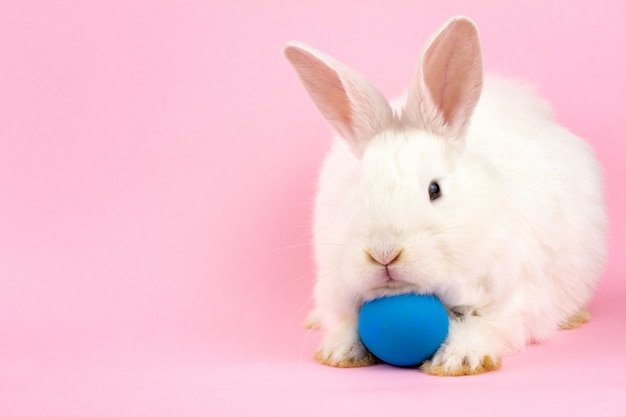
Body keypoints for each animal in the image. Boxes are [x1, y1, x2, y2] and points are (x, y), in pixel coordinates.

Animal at [282, 16, 604, 376]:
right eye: (358, 191)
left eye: (434, 190)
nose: (384, 254)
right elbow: (344, 321)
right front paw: (341, 352)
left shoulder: (516, 298)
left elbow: (486, 325)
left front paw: (459, 360)